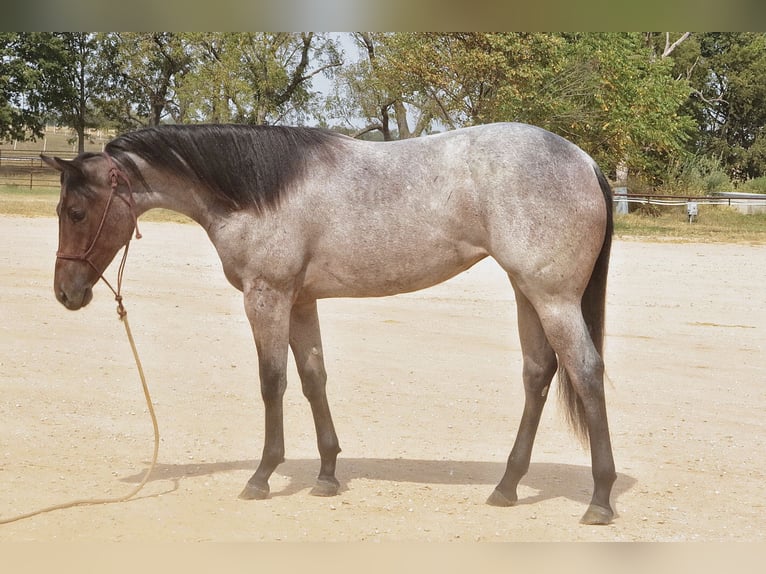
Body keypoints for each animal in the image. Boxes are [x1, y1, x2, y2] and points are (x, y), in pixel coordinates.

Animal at [43, 122, 616, 525]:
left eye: (75, 212)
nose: (65, 293)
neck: (257, 191)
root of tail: (585, 160)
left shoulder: (267, 297)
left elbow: (272, 382)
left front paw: (262, 476)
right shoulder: (300, 302)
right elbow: (313, 379)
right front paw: (325, 474)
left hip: (552, 297)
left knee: (586, 373)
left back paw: (600, 499)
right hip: (527, 292)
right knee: (538, 374)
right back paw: (506, 487)